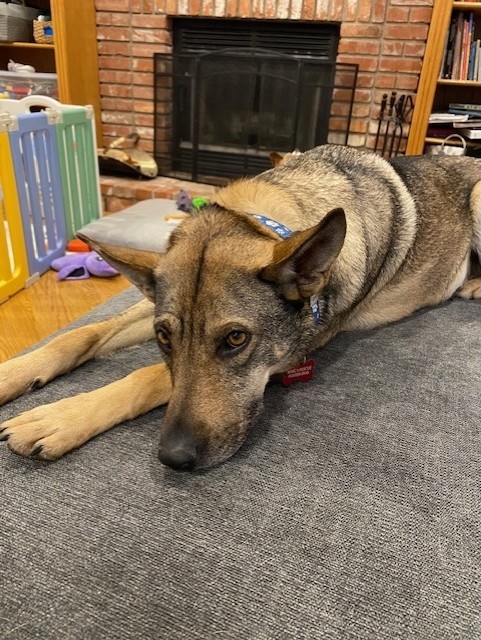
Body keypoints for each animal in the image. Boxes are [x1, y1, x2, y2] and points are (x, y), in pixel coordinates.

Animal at [0, 145, 480, 471]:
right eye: (163, 338)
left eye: (235, 339)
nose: (174, 459)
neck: (263, 217)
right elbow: (80, 333)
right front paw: (14, 373)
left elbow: (145, 376)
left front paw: (58, 418)